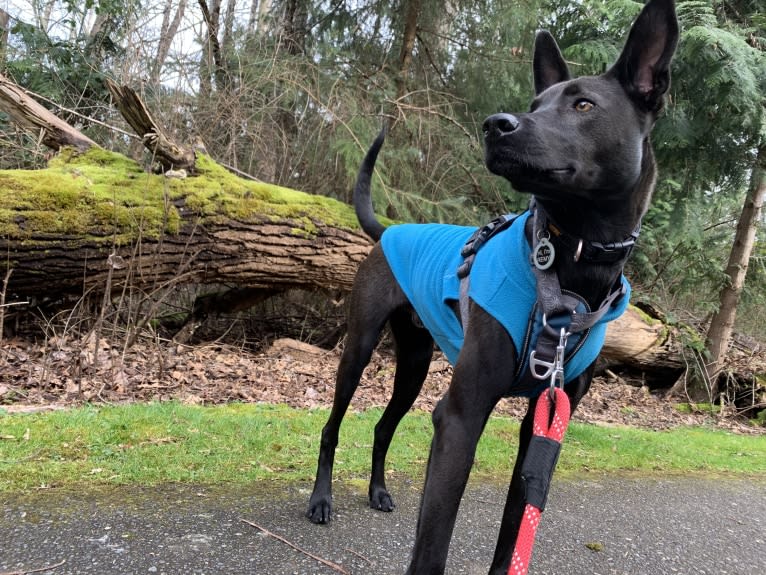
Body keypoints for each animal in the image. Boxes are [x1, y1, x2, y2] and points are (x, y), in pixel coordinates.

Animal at [306, 2, 680, 572]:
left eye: (584, 105)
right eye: (535, 104)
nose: (495, 125)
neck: (569, 269)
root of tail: (390, 228)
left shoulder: (545, 423)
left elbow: (513, 529)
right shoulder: (461, 419)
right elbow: (432, 546)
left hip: (414, 363)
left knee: (384, 426)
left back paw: (378, 491)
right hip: (359, 349)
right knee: (333, 426)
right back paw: (321, 500)